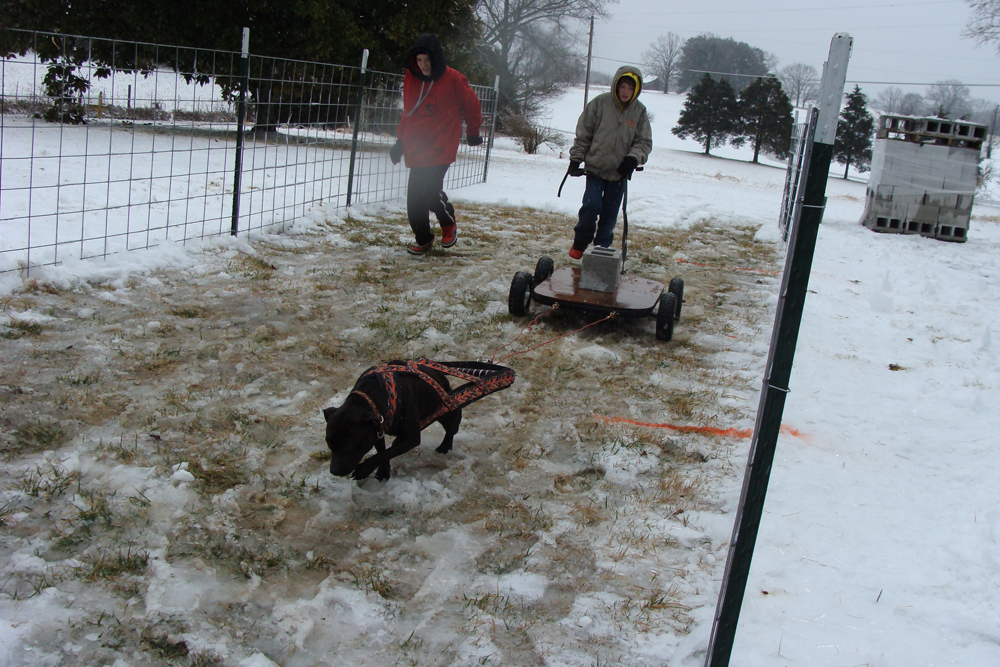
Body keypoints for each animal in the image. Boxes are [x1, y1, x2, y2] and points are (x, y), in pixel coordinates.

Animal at [326, 360, 462, 480]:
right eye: (329, 444)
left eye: (348, 445)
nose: (333, 471)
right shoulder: (376, 431)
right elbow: (383, 452)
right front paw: (383, 472)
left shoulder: (411, 438)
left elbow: (384, 453)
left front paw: (363, 469)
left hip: (448, 412)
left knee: (451, 429)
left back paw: (445, 446)